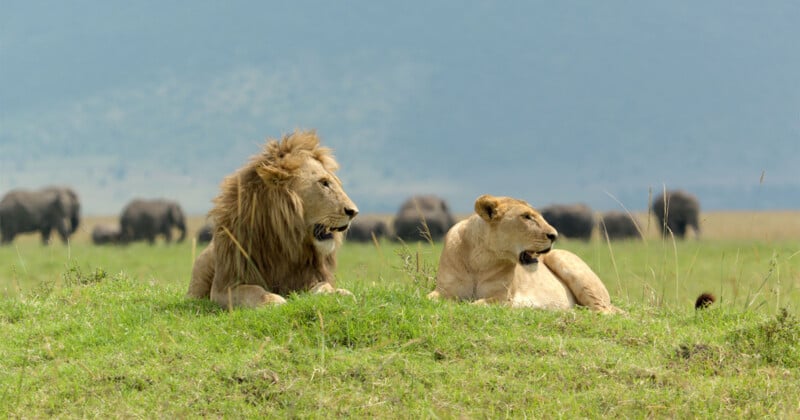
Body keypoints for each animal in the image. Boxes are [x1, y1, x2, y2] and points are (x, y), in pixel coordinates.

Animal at [187, 130, 359, 308]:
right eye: (324, 183)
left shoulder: (308, 276)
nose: (354, 212)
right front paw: (274, 300)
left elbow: (325, 285)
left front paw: (339, 294)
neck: (286, 241)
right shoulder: (223, 286)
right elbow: (253, 290)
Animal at [428, 194, 622, 313]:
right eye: (527, 217)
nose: (555, 235)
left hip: (561, 257)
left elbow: (476, 304)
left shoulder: (503, 298)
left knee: (604, 310)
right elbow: (430, 298)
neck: (481, 259)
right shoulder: (444, 290)